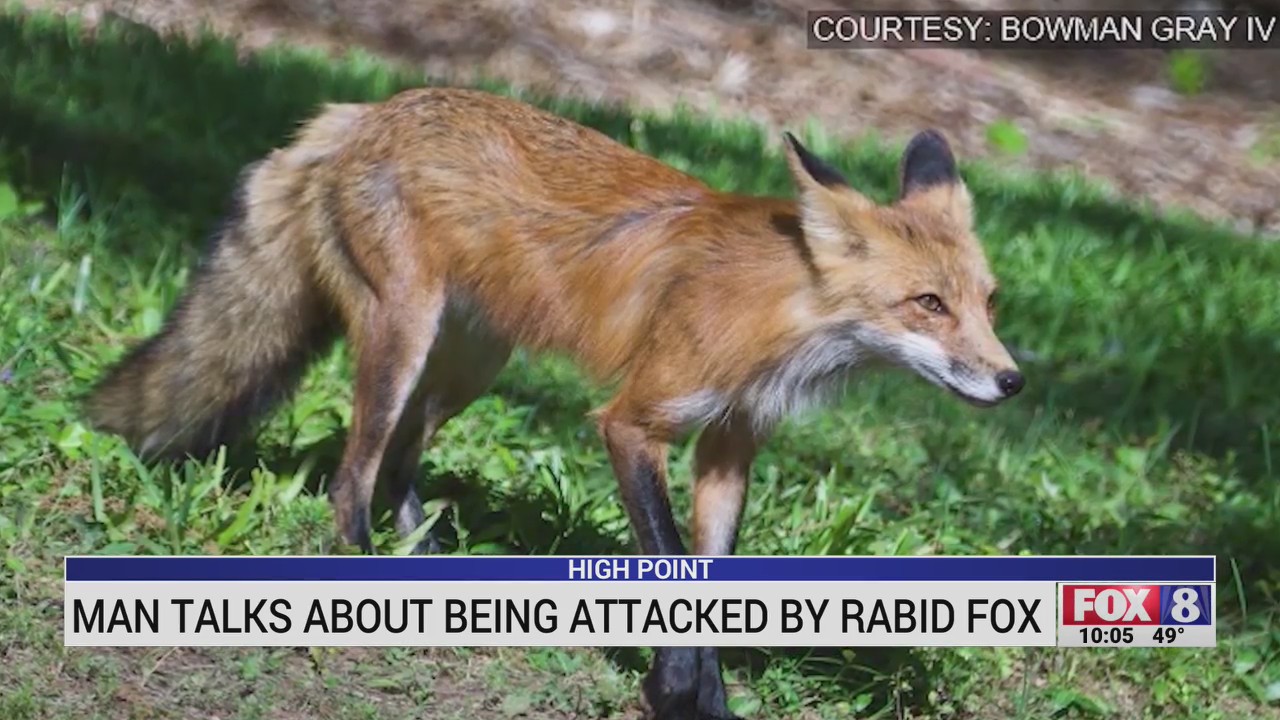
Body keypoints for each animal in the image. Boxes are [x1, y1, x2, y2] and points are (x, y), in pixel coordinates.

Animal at [84, 87, 1023, 720]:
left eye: (989, 302)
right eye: (927, 305)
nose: (1013, 383)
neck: (779, 311)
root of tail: (365, 108)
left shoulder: (730, 445)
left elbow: (710, 582)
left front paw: (703, 701)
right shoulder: (634, 423)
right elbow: (670, 567)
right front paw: (671, 687)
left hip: (470, 363)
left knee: (396, 466)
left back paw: (429, 567)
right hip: (403, 339)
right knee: (352, 477)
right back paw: (367, 580)